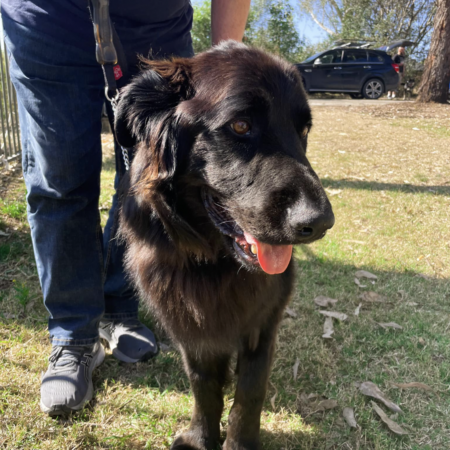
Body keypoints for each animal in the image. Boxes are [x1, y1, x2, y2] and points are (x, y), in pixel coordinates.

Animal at [115, 40, 334, 448]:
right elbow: (204, 387)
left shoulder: (262, 325)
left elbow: (250, 391)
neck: (215, 262)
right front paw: (201, 437)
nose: (319, 222)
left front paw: (239, 442)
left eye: (303, 130)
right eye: (241, 125)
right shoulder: (191, 330)